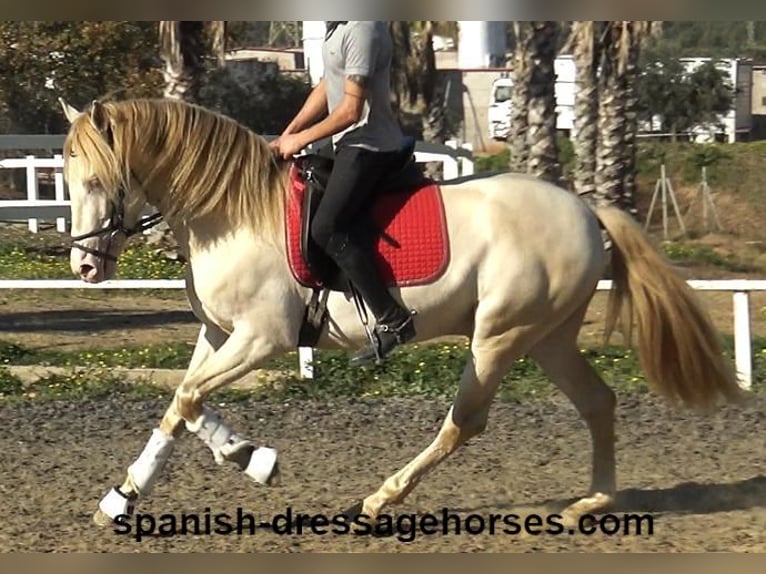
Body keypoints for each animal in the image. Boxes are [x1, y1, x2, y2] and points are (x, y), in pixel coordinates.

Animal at [58, 95, 744, 532]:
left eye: (96, 181)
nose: (84, 267)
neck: (229, 211)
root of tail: (584, 208)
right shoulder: (218, 332)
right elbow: (184, 405)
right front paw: (135, 492)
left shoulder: (261, 338)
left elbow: (189, 400)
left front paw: (246, 461)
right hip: (547, 337)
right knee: (597, 402)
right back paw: (592, 503)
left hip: (500, 336)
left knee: (464, 424)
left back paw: (377, 500)